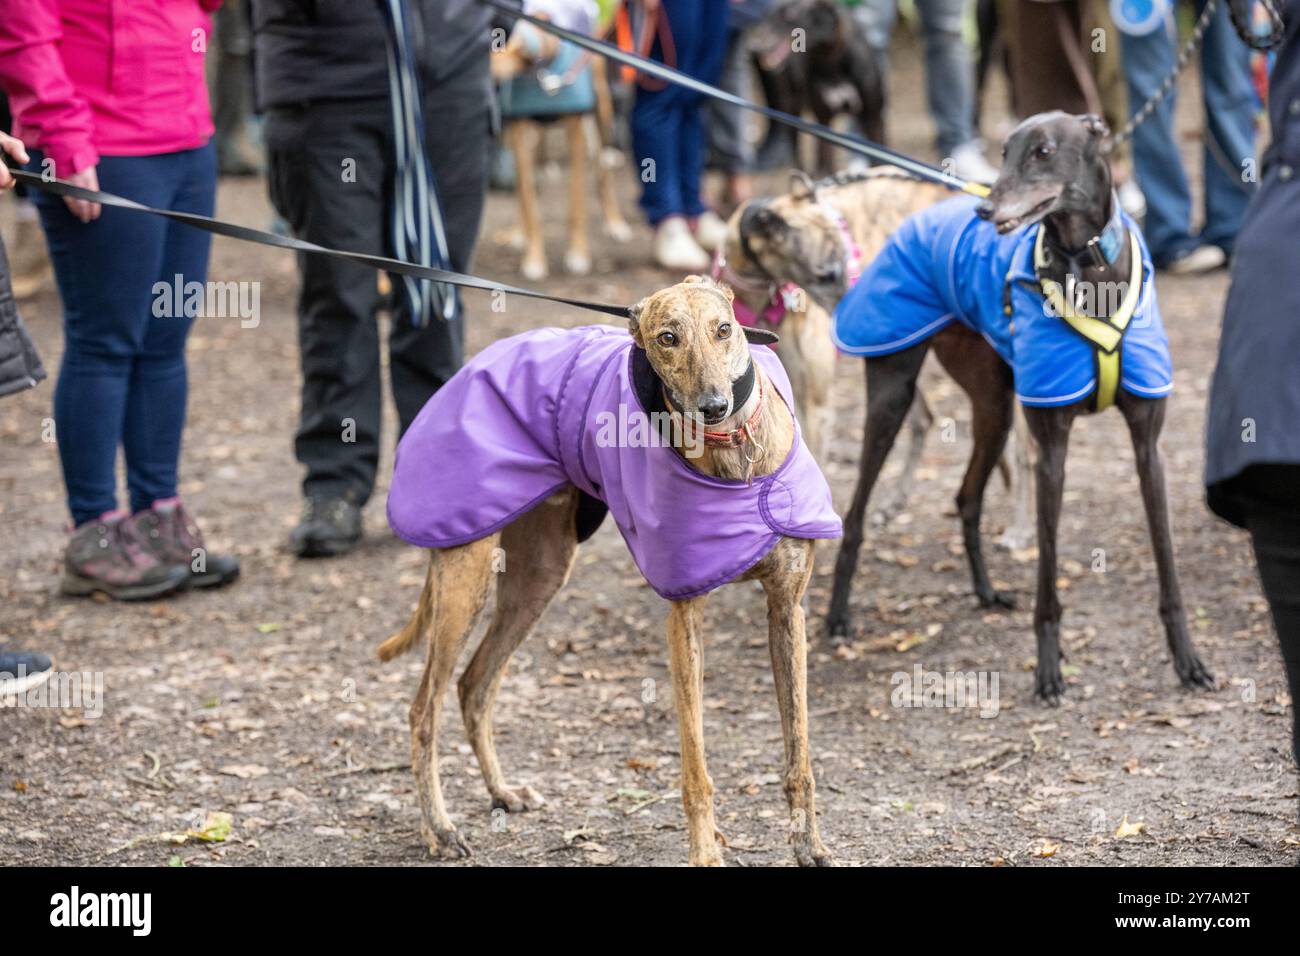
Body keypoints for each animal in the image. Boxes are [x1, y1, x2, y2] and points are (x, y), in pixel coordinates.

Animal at [754, 0, 883, 171]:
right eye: (767, 15)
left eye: (789, 14)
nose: (754, 47)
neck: (830, 60)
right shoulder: (824, 117)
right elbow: (825, 163)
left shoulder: (873, 117)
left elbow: (879, 161)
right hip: (792, 108)